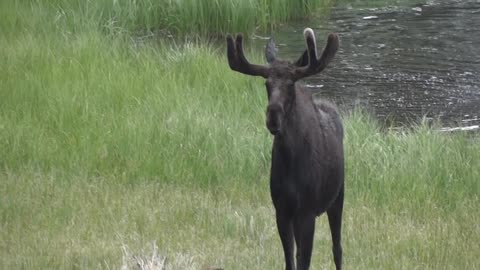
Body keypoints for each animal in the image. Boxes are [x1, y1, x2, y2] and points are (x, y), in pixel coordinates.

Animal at [226, 28, 344, 270]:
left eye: (291, 84)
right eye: (266, 84)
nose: (273, 117)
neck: (290, 160)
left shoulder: (307, 211)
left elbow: (303, 261)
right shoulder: (282, 210)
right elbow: (290, 260)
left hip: (338, 197)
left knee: (337, 249)